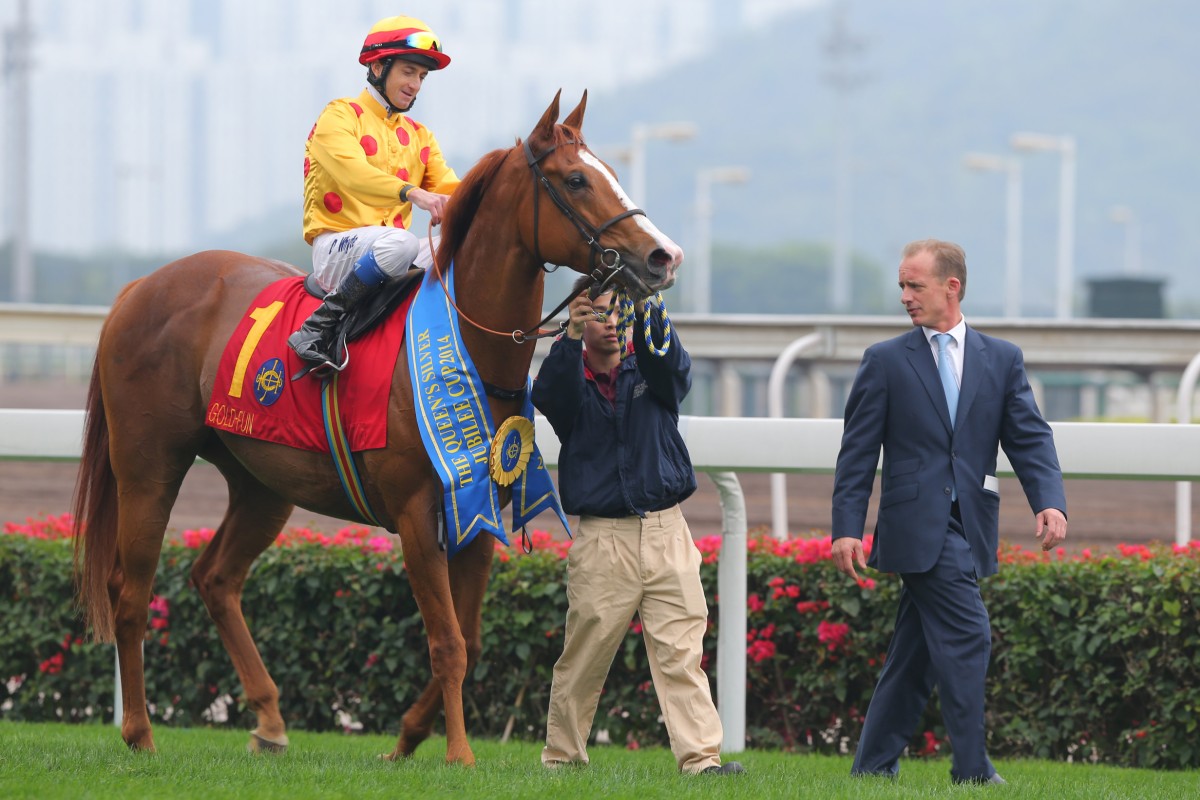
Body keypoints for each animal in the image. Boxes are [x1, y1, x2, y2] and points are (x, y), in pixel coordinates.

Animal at [70, 92, 681, 762]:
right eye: (576, 179)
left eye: (612, 172)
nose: (663, 256)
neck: (469, 345)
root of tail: (138, 287)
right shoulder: (416, 513)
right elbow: (447, 642)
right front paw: (458, 753)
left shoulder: (479, 507)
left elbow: (470, 636)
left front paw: (409, 736)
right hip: (149, 464)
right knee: (129, 592)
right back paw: (140, 732)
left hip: (261, 480)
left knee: (215, 578)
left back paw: (270, 719)